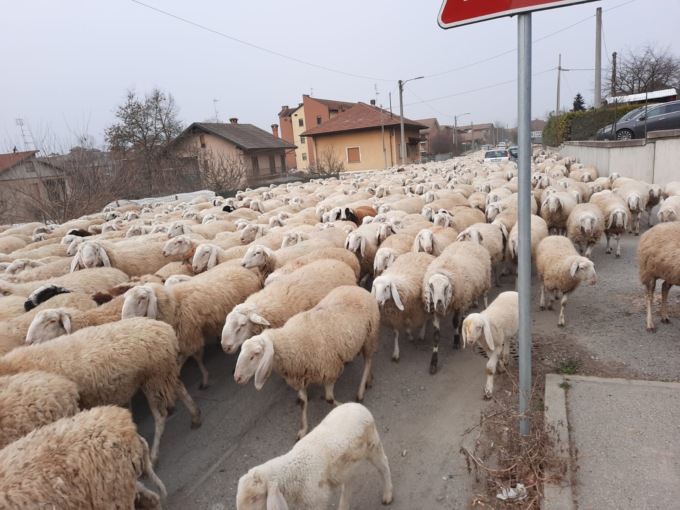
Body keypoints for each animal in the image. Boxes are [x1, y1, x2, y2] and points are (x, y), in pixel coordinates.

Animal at [122, 264, 262, 389]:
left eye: (142, 298)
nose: (125, 320)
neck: (174, 305)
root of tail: (245, 270)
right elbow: (195, 358)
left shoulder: (190, 336)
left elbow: (195, 358)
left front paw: (204, 379)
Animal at [234, 285, 379, 440]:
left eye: (255, 354)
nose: (237, 378)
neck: (292, 342)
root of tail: (358, 288)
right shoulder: (300, 376)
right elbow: (303, 403)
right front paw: (303, 429)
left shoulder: (329, 371)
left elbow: (329, 398)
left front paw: (342, 405)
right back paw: (369, 379)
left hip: (370, 335)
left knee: (368, 361)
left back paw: (361, 391)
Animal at [236, 403, 392, 510]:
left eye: (256, 497)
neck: (294, 472)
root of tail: (356, 405)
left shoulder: (316, 499)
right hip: (349, 464)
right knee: (348, 483)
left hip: (373, 445)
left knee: (383, 466)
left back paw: (388, 494)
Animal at [423, 241, 491, 374]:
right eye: (431, 287)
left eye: (446, 287)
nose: (439, 304)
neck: (444, 268)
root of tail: (469, 241)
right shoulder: (435, 312)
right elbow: (436, 336)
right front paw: (433, 362)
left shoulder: (458, 303)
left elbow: (454, 322)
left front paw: (456, 341)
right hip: (468, 294)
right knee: (466, 311)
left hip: (485, 281)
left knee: (485, 296)